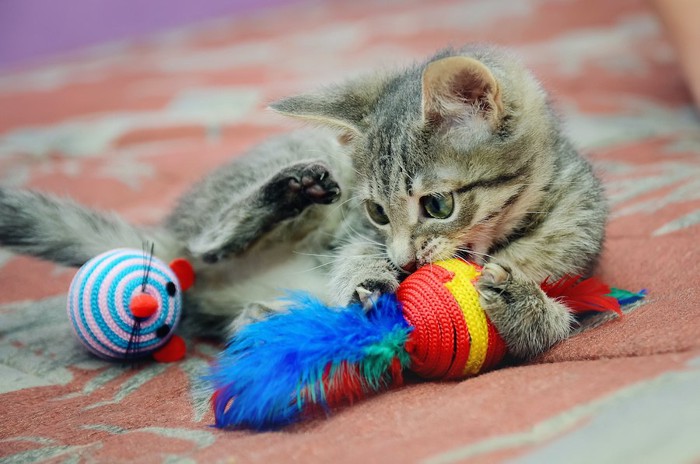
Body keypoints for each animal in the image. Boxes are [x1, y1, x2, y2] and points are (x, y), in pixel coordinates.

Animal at [0, 45, 608, 358]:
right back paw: (287, 192)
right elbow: (356, 252)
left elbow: (563, 322)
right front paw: (368, 277)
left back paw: (269, 317)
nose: (404, 261)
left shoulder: (581, 268)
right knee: (205, 246)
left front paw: (525, 305)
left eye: (437, 206)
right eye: (377, 212)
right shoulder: (354, 231)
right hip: (301, 171)